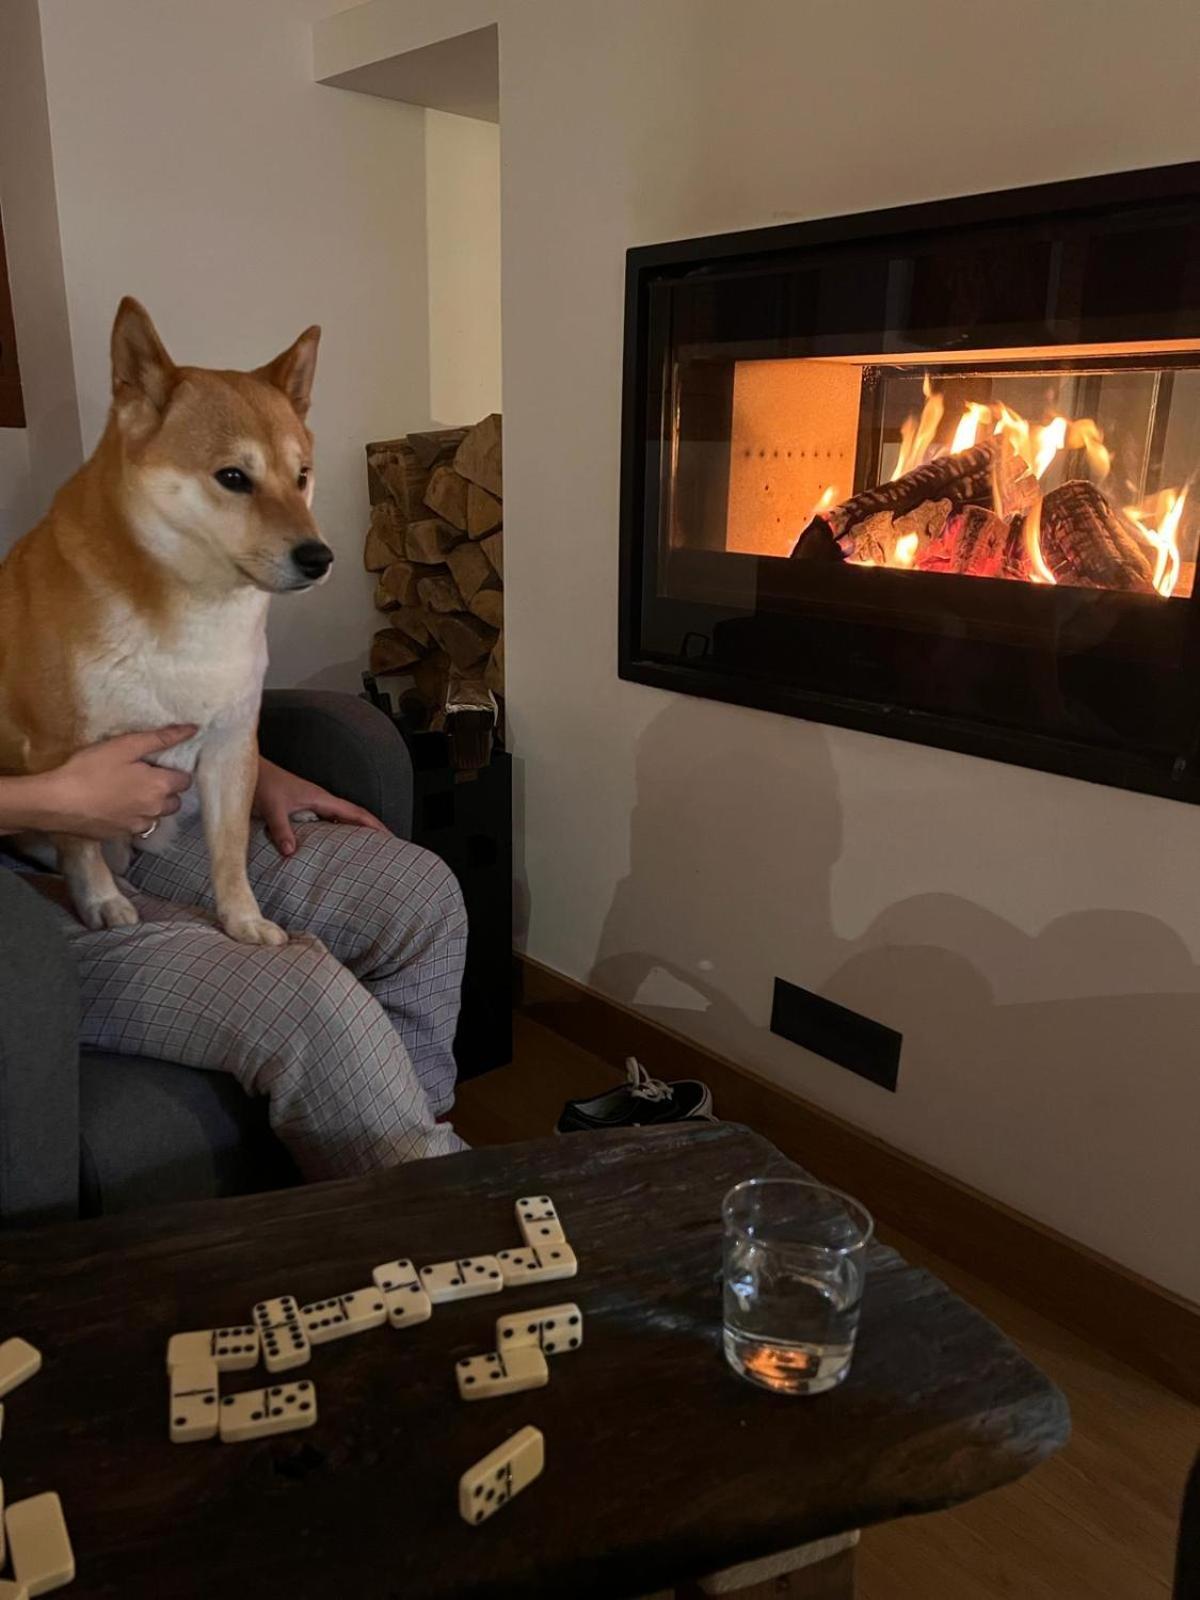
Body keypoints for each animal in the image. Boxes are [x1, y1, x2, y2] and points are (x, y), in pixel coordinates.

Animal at [0, 297, 334, 934]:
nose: (319, 557)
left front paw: (243, 921)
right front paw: (101, 902)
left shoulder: (231, 744)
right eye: (233, 477)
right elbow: (80, 844)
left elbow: (230, 852)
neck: (195, 621)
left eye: (302, 476)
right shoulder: (59, 752)